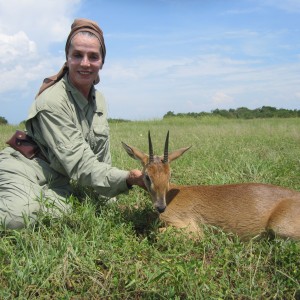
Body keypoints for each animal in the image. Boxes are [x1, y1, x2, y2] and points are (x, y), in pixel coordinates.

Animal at [121, 132, 300, 240]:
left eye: (170, 175)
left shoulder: (191, 230)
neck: (172, 195)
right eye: (147, 176)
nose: (161, 207)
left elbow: (156, 233)